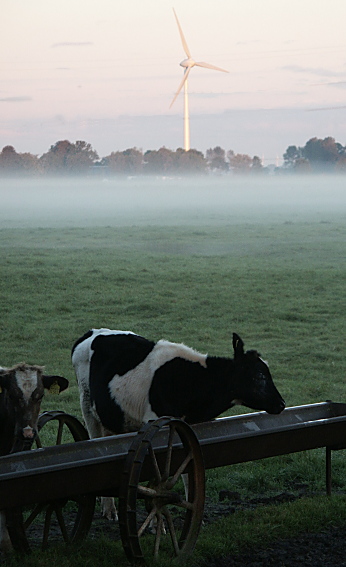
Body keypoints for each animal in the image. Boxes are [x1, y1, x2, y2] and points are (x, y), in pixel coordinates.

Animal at [71, 328, 286, 520]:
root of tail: (93, 332)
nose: (281, 403)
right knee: (95, 441)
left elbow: (189, 470)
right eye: (259, 376)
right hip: (87, 406)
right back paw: (109, 509)